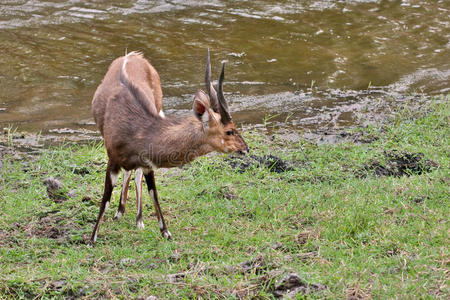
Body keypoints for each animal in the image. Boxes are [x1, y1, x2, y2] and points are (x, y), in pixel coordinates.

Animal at [89, 49, 248, 244]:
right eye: (229, 131)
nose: (245, 148)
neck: (140, 130)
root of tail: (132, 55)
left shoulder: (147, 164)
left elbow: (153, 193)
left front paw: (165, 232)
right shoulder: (112, 159)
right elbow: (105, 198)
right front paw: (92, 238)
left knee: (135, 174)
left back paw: (137, 218)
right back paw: (120, 213)